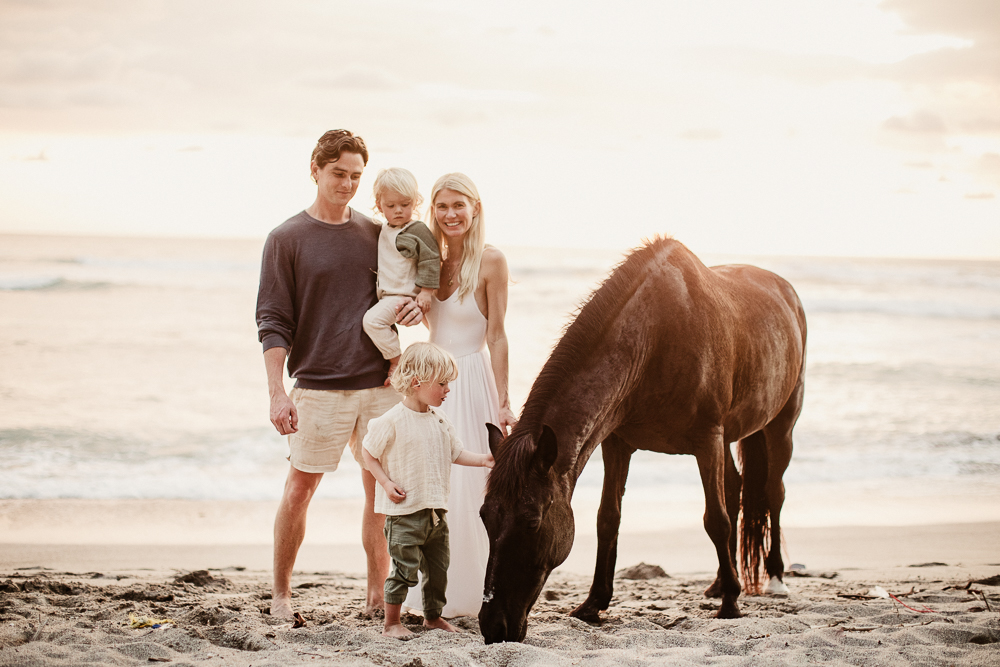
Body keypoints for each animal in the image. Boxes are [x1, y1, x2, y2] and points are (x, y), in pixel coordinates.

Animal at [476, 237, 804, 644]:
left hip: (780, 425)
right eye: (484, 515)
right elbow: (608, 519)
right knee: (735, 487)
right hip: (729, 438)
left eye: (532, 521)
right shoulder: (617, 443)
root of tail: (785, 289)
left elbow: (716, 520)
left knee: (773, 493)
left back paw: (773, 578)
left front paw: (731, 604)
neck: (656, 335)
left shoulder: (707, 439)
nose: (493, 627)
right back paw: (716, 583)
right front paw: (593, 604)